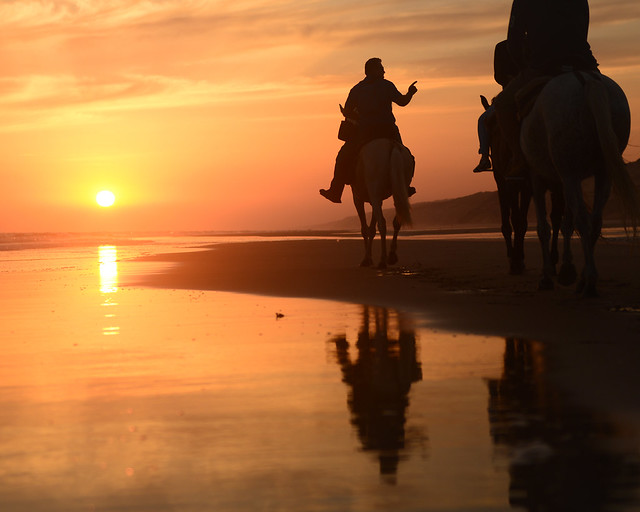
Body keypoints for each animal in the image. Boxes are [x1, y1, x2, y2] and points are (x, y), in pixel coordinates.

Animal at [350, 139, 416, 268]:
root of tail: (392, 144)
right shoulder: (376, 199)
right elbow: (371, 229)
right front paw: (369, 258)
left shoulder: (358, 198)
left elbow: (365, 229)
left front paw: (366, 259)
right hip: (399, 188)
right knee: (397, 220)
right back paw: (391, 256)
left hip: (374, 189)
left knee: (382, 224)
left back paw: (382, 261)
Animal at [520, 72, 640, 296]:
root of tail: (585, 78)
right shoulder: (561, 182)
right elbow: (566, 223)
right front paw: (567, 269)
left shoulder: (538, 178)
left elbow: (544, 228)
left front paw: (548, 276)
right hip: (602, 173)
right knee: (595, 220)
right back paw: (584, 279)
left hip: (570, 173)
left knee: (583, 220)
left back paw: (590, 281)